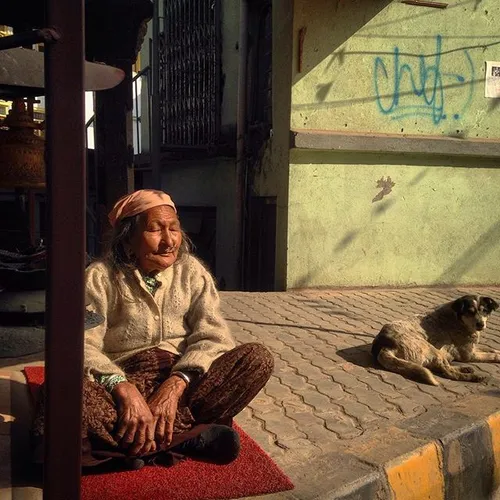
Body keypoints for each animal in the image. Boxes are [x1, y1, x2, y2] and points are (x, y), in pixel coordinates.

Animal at [372, 294, 500, 384]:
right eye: (470, 312)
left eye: (484, 311)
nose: (481, 324)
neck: (458, 319)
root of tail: (385, 345)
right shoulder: (468, 355)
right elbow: (492, 355)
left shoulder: (472, 347)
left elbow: (491, 350)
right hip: (431, 348)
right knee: (448, 372)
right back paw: (473, 377)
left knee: (443, 367)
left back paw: (465, 369)